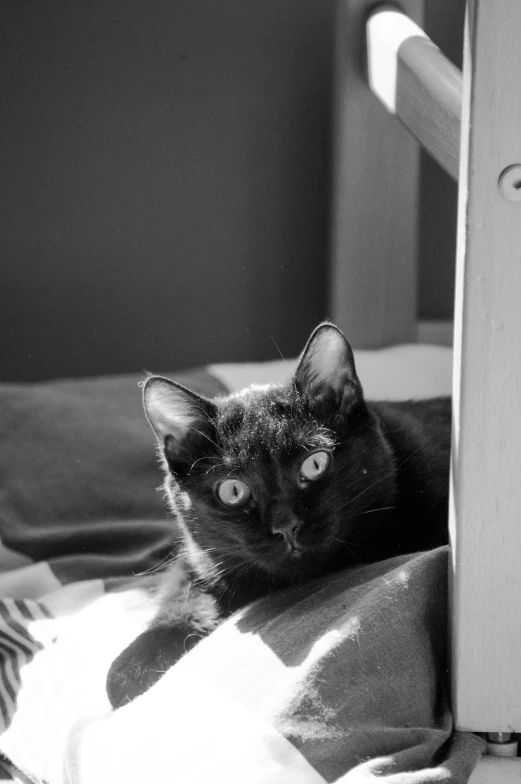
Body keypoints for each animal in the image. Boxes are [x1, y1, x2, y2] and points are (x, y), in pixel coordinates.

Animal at [106, 322, 450, 708]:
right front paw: (135, 665)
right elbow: (181, 594)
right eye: (232, 491)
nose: (285, 526)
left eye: (315, 463)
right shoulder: (199, 557)